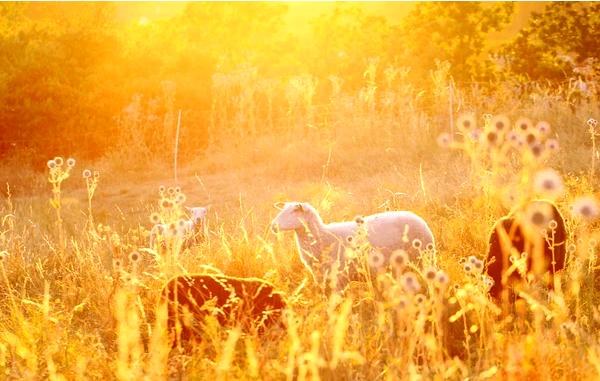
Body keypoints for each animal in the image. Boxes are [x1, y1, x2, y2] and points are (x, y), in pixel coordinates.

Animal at [272, 202, 436, 284]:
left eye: (293, 212)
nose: (273, 226)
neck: (323, 236)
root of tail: (419, 218)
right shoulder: (320, 279)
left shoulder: (339, 279)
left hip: (425, 258)